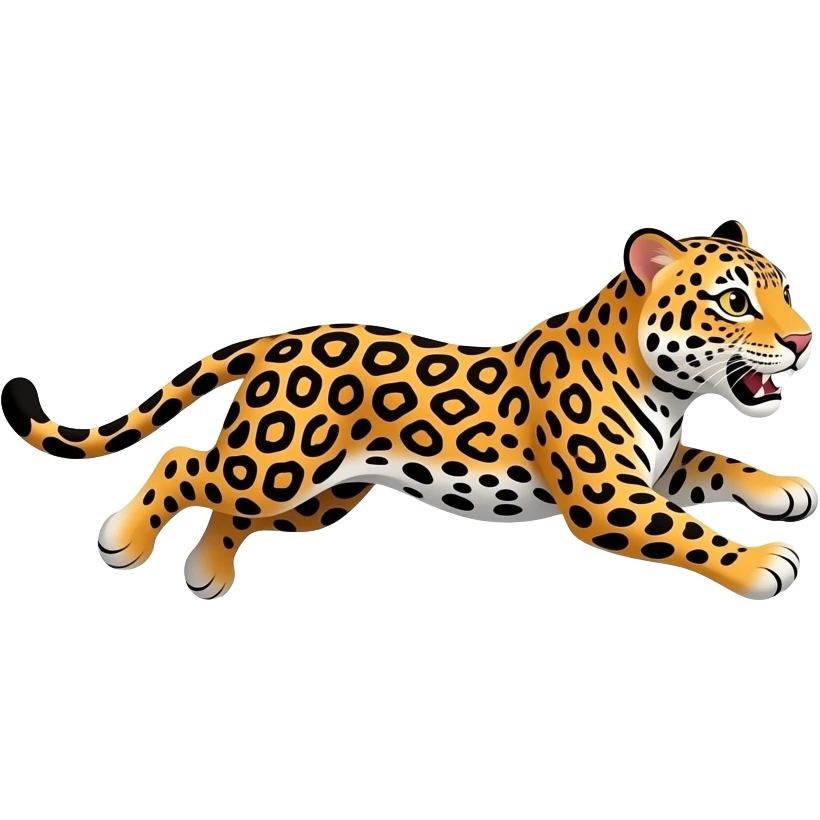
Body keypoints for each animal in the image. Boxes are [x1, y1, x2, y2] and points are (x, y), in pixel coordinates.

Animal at [2, 220, 815, 601]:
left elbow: (715, 461)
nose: (803, 338)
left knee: (225, 500)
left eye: (781, 288)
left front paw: (783, 491)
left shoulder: (658, 464)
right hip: (277, 461)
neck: (666, 390)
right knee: (182, 463)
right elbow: (688, 532)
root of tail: (274, 340)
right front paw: (760, 561)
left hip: (318, 495)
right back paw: (122, 539)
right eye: (735, 302)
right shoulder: (607, 493)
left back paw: (205, 571)